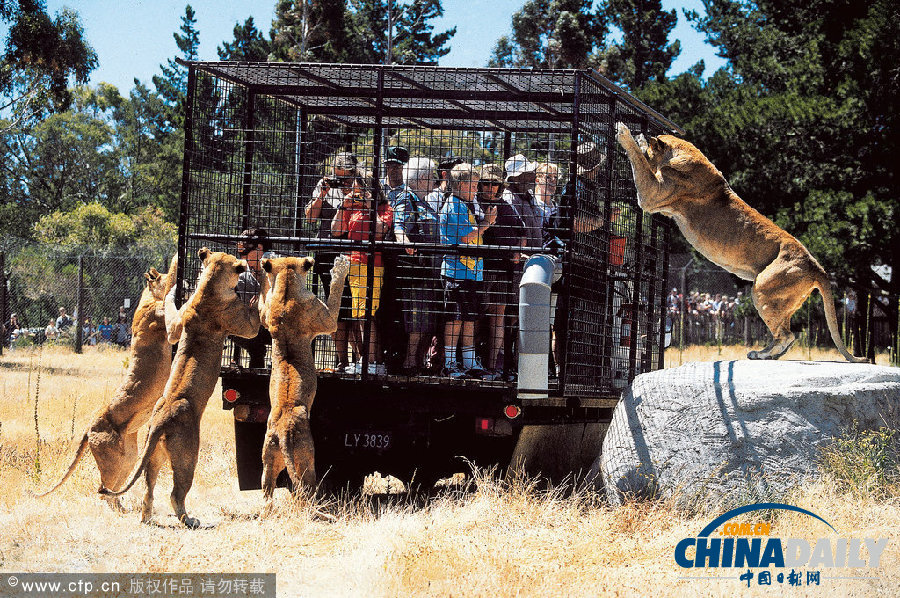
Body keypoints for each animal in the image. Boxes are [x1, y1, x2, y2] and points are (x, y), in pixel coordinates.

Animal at [36, 255, 178, 512]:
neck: (147, 297)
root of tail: (88, 427)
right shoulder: (163, 321)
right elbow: (172, 290)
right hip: (111, 459)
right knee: (102, 489)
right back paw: (120, 511)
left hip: (128, 456)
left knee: (112, 488)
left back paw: (123, 508)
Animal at [103, 248, 264, 528]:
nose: (248, 268)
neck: (208, 289)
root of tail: (159, 421)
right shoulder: (238, 322)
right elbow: (253, 325)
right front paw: (259, 294)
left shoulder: (177, 326)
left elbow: (171, 319)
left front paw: (171, 291)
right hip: (187, 456)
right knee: (175, 493)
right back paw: (189, 520)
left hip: (153, 454)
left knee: (148, 490)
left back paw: (146, 517)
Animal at [256, 253, 352, 516]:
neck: (287, 287)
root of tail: (282, 431)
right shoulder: (326, 319)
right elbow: (335, 296)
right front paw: (340, 266)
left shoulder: (266, 314)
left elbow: (261, 300)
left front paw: (264, 266)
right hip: (307, 459)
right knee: (305, 489)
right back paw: (317, 507)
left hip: (268, 458)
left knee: (267, 489)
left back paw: (267, 511)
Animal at [616, 122, 868, 366]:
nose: (642, 133)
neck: (680, 153)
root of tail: (817, 266)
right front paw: (635, 135)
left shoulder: (653, 195)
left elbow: (639, 161)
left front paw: (625, 132)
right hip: (782, 300)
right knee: (785, 333)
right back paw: (765, 354)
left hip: (763, 288)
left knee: (787, 335)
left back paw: (762, 355)